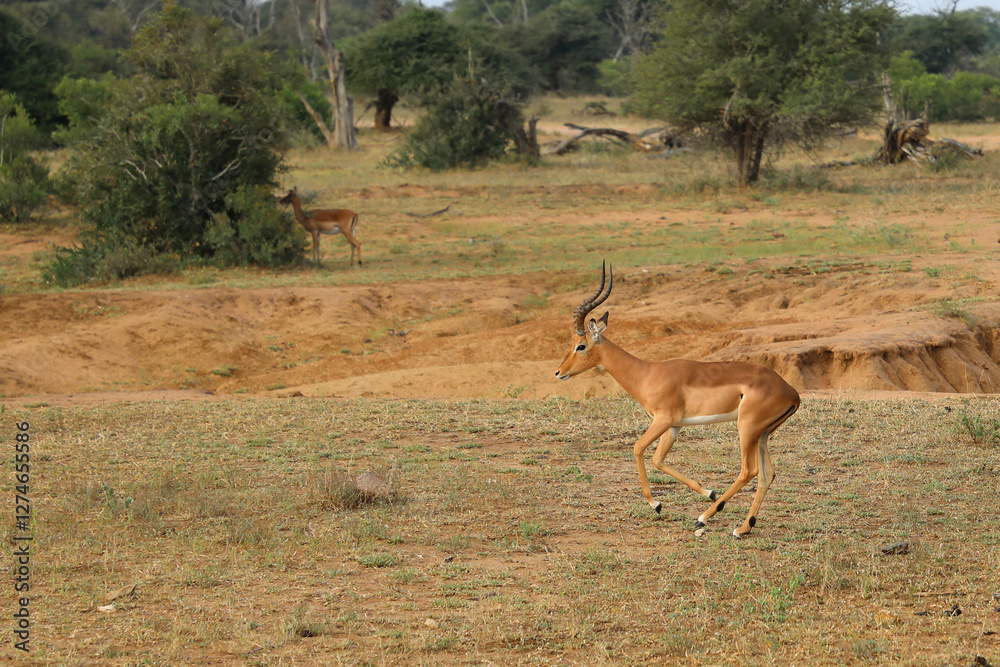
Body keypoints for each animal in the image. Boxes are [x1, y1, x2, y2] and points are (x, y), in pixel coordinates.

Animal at [555, 262, 800, 537]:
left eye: (581, 345)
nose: (559, 372)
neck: (648, 373)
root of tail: (792, 391)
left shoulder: (663, 419)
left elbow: (638, 448)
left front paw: (656, 504)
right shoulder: (673, 426)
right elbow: (658, 459)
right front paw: (708, 491)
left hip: (747, 429)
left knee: (749, 470)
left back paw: (704, 518)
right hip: (763, 433)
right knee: (767, 474)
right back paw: (743, 527)